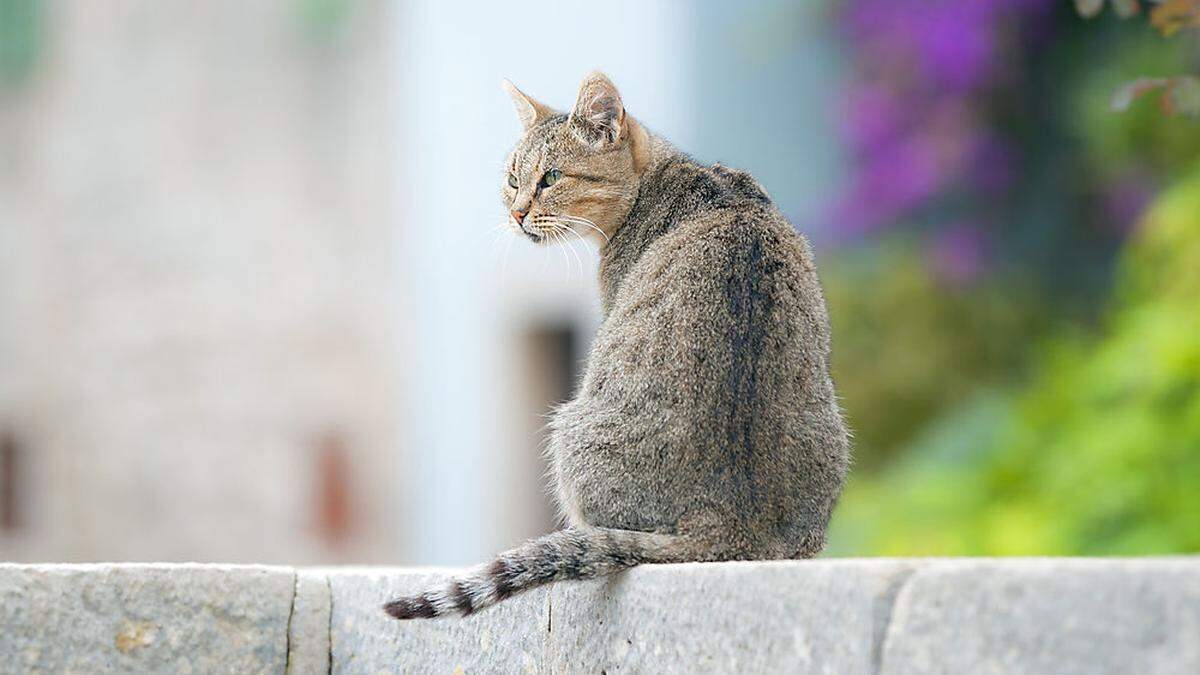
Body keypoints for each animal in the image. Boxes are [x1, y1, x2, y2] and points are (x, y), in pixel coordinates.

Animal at [379, 70, 849, 619]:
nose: (516, 213)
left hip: (568, 428)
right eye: (513, 179)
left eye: (550, 178)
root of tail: (726, 522)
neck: (677, 178)